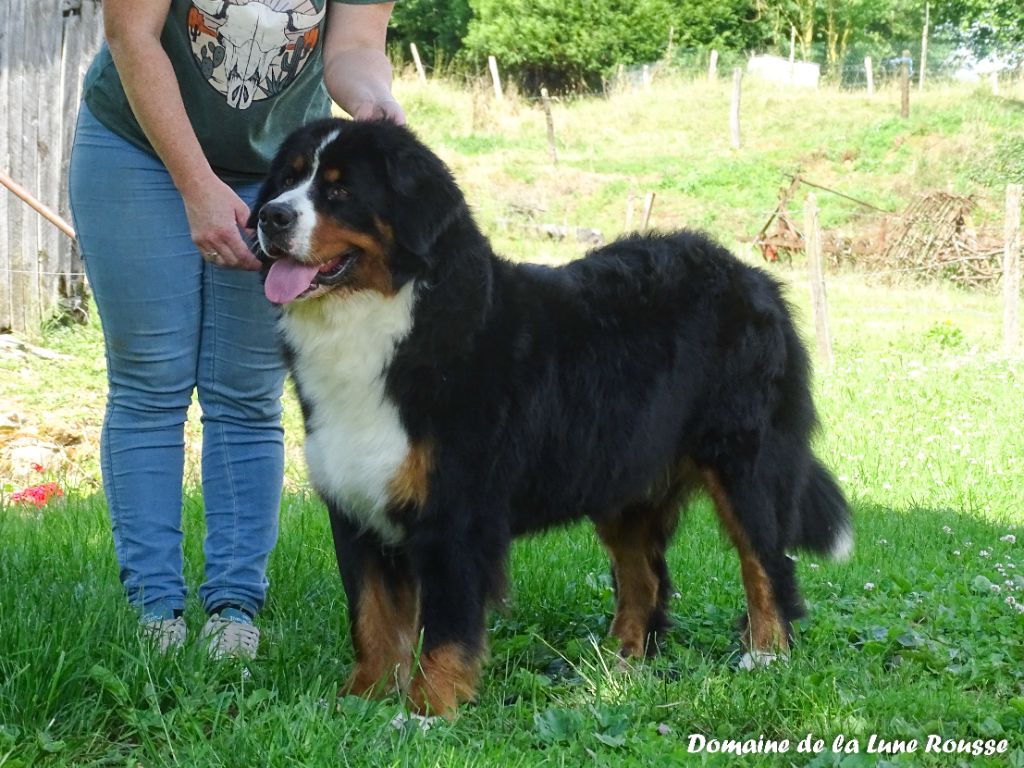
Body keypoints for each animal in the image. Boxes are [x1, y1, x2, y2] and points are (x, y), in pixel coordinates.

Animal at [251, 117, 851, 720]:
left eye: (340, 191)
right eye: (287, 178)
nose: (269, 217)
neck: (388, 323)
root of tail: (752, 275)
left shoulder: (456, 513)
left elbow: (446, 626)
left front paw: (425, 710)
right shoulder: (356, 504)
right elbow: (372, 618)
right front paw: (359, 700)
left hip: (744, 464)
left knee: (766, 562)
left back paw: (765, 653)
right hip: (625, 481)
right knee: (645, 579)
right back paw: (617, 667)